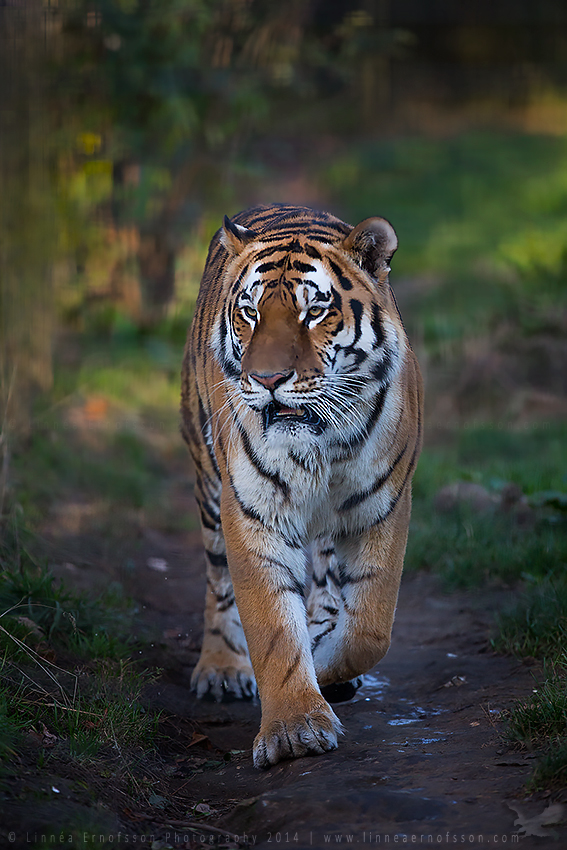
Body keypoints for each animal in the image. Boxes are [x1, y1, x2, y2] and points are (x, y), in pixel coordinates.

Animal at [180, 204, 424, 768]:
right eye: (249, 312)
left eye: (314, 311)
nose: (267, 380)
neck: (321, 445)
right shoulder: (253, 512)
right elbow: (272, 628)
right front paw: (294, 730)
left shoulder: (382, 507)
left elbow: (370, 626)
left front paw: (327, 669)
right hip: (208, 482)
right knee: (218, 584)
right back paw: (221, 669)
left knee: (331, 588)